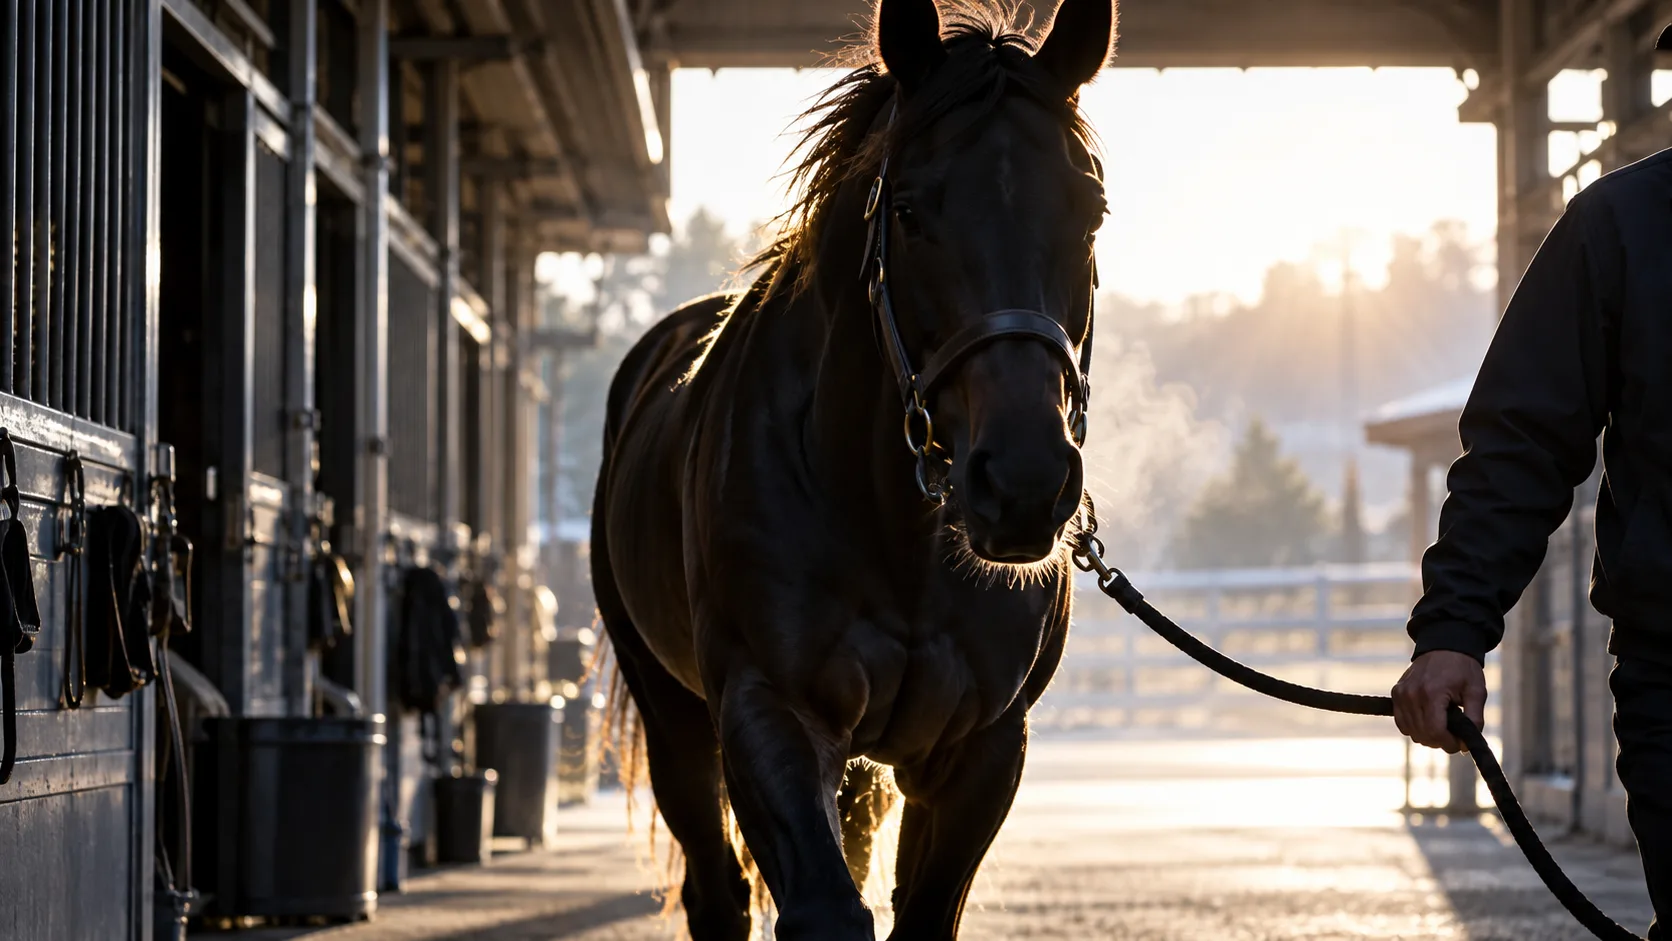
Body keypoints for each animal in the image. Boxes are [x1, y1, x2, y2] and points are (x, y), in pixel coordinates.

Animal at [591, 1, 1113, 937]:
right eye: (907, 210)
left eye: (1090, 210)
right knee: (715, 889)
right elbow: (826, 907)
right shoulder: (771, 710)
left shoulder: (981, 746)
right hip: (672, 714)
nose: (1022, 484)